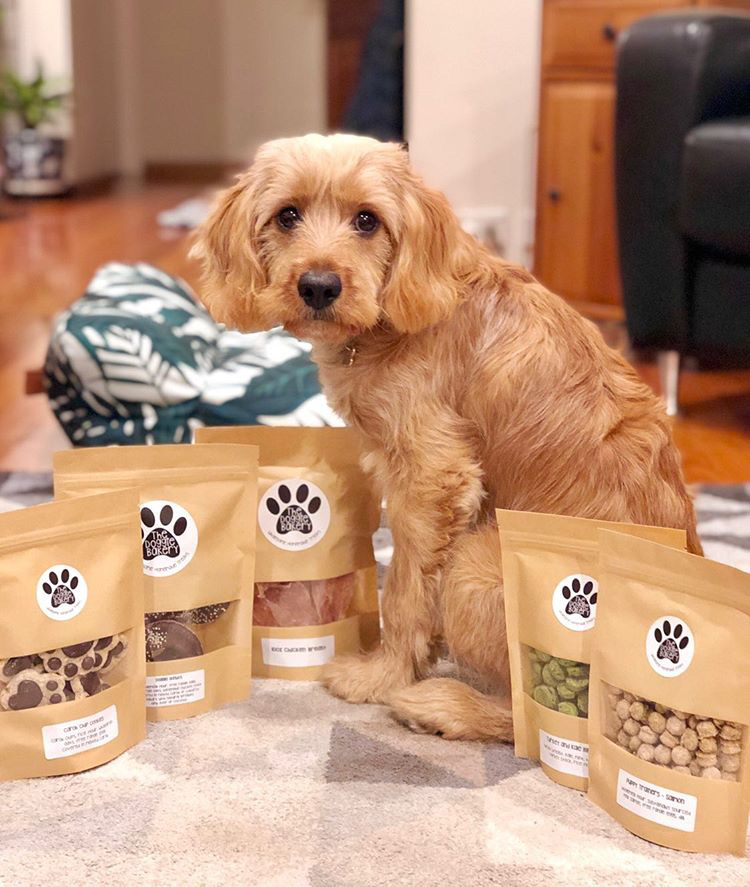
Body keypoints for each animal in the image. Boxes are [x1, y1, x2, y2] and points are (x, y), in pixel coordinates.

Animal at [191, 132, 704, 744]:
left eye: (367, 220)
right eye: (287, 215)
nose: (318, 286)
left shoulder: (432, 477)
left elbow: (405, 593)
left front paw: (383, 676)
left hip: (473, 566)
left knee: (539, 717)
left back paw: (442, 706)